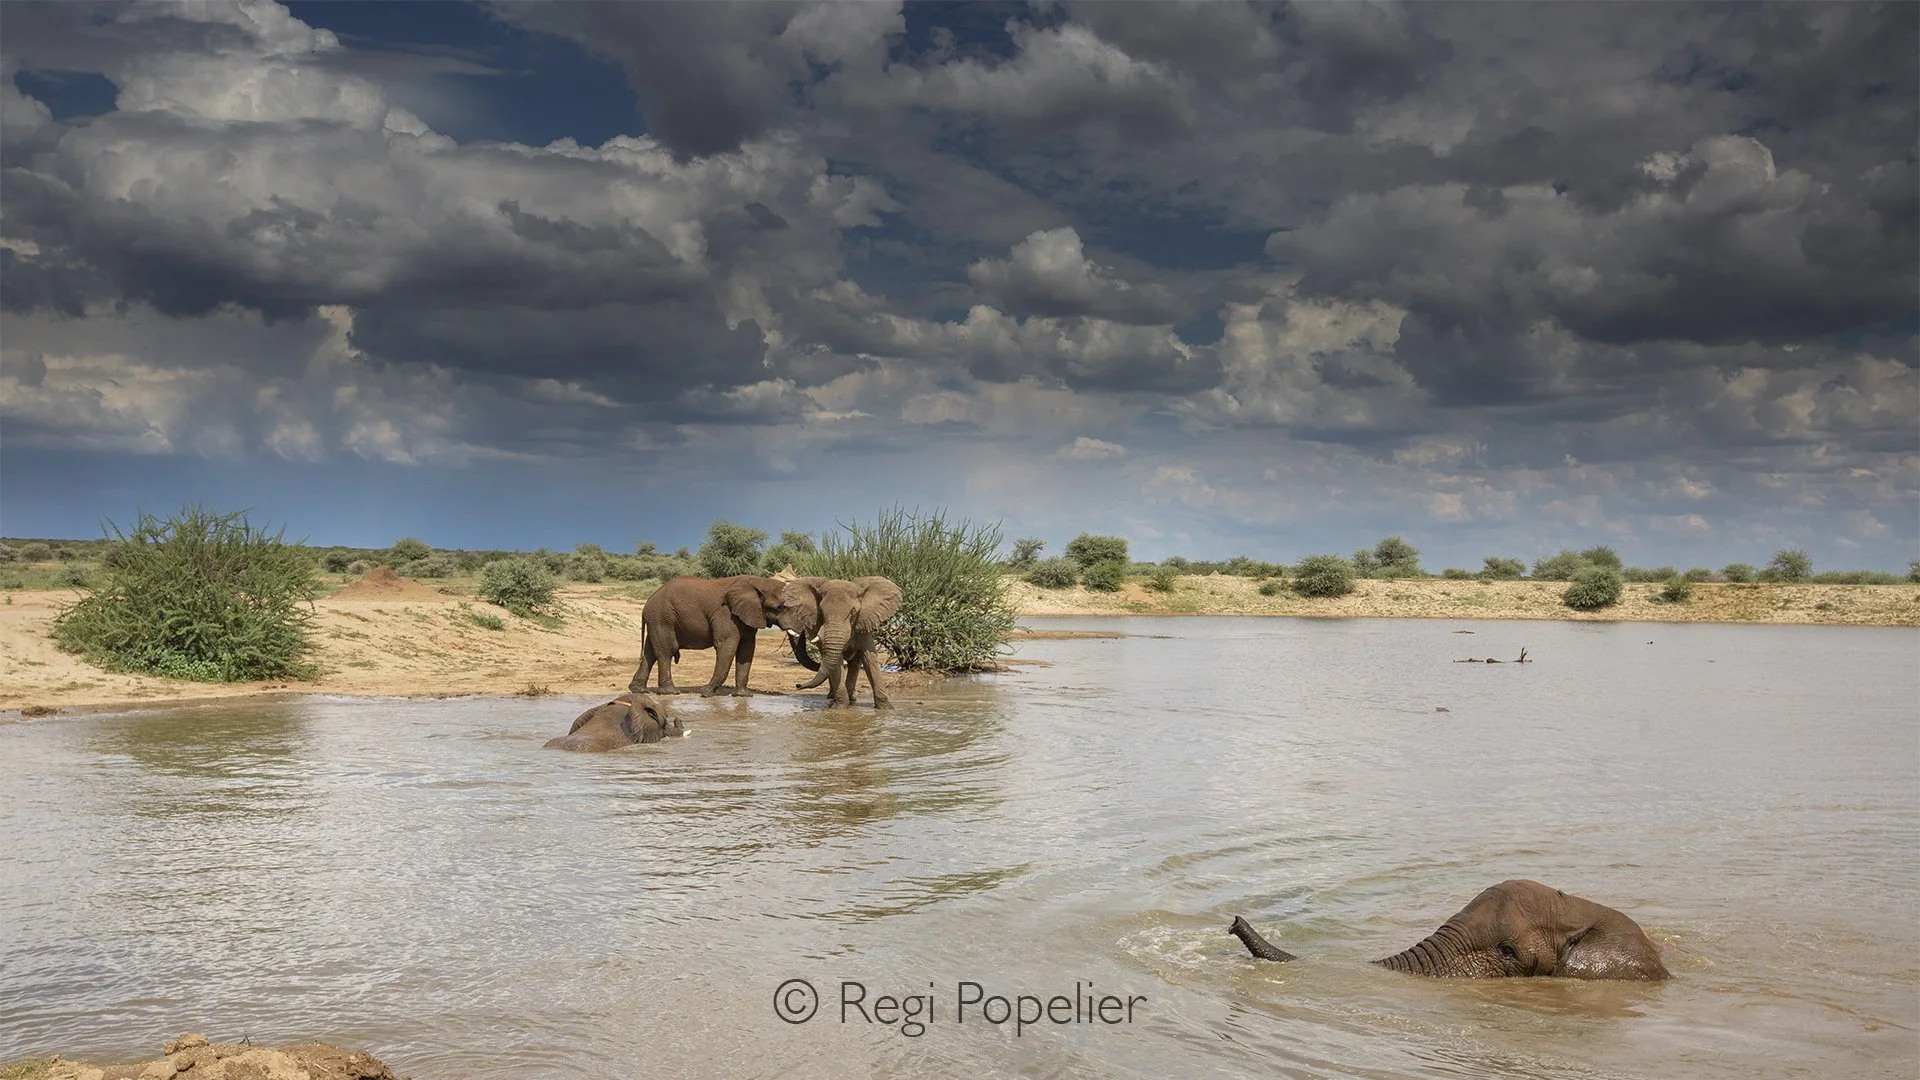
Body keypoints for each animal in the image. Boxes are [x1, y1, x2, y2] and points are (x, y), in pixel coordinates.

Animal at [629, 575, 794, 696]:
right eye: (781, 607)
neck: (760, 581)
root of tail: (647, 603)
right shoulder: (726, 613)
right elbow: (726, 646)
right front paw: (706, 693)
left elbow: (747, 649)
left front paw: (743, 695)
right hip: (663, 618)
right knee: (666, 652)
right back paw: (671, 692)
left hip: (657, 619)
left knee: (650, 653)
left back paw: (638, 690)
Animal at [777, 576, 903, 707]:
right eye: (821, 611)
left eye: (853, 611)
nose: (797, 685)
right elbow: (836, 661)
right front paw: (840, 707)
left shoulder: (863, 623)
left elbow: (869, 658)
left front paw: (886, 708)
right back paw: (834, 697)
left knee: (853, 663)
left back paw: (851, 698)